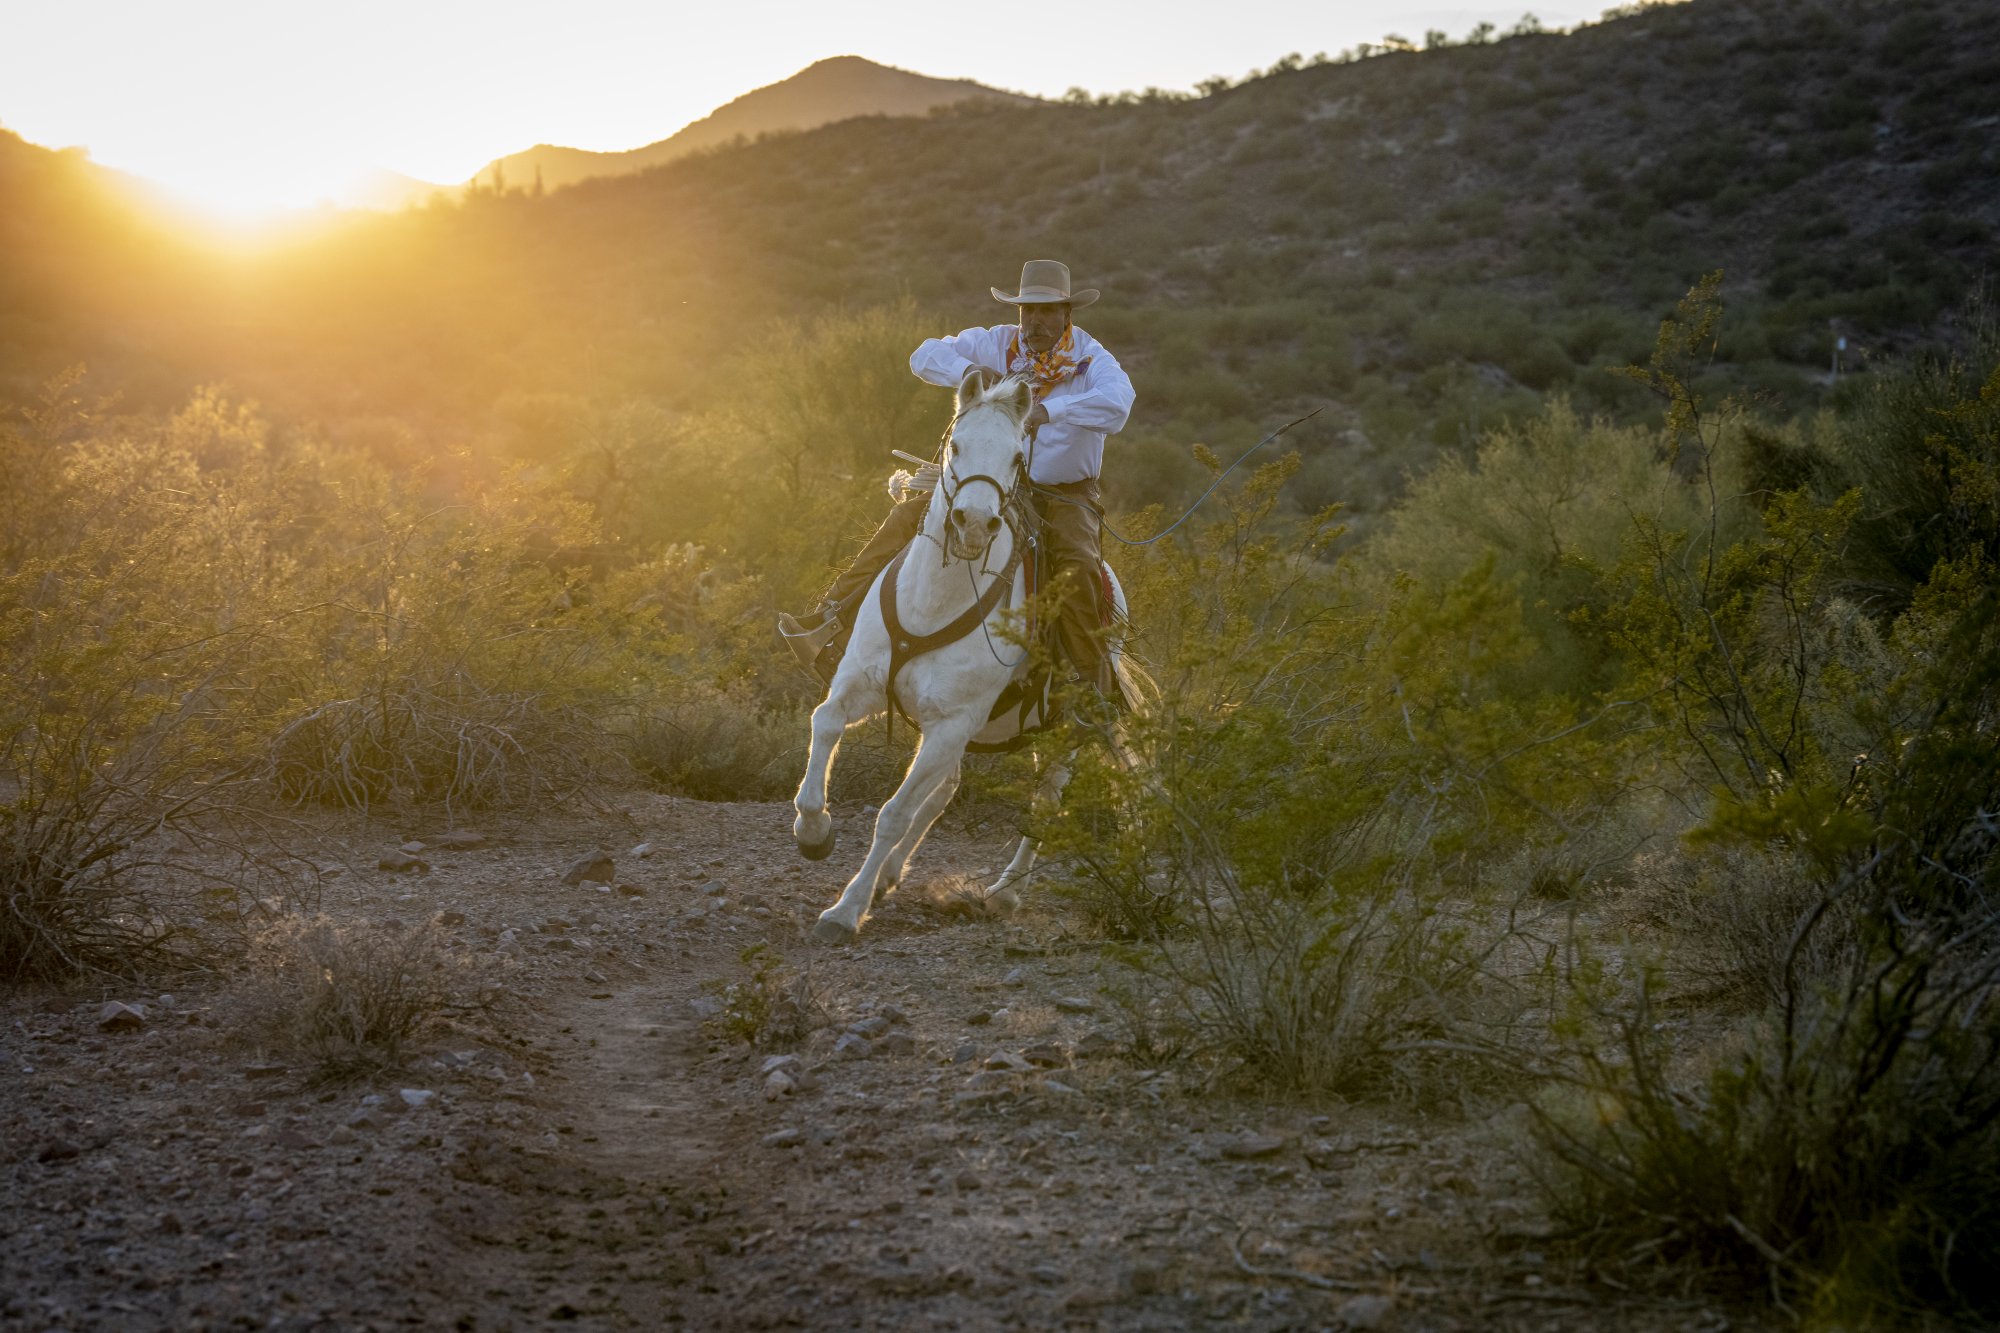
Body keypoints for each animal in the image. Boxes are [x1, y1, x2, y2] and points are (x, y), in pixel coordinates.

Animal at [796, 368, 1144, 940]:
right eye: (955, 445)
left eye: (1017, 457)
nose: (974, 524)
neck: (936, 603)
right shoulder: (862, 687)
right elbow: (823, 723)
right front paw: (814, 831)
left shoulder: (952, 723)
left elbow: (893, 814)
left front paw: (845, 911)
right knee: (945, 790)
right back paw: (891, 875)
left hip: (1064, 727)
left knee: (1043, 800)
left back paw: (1004, 893)